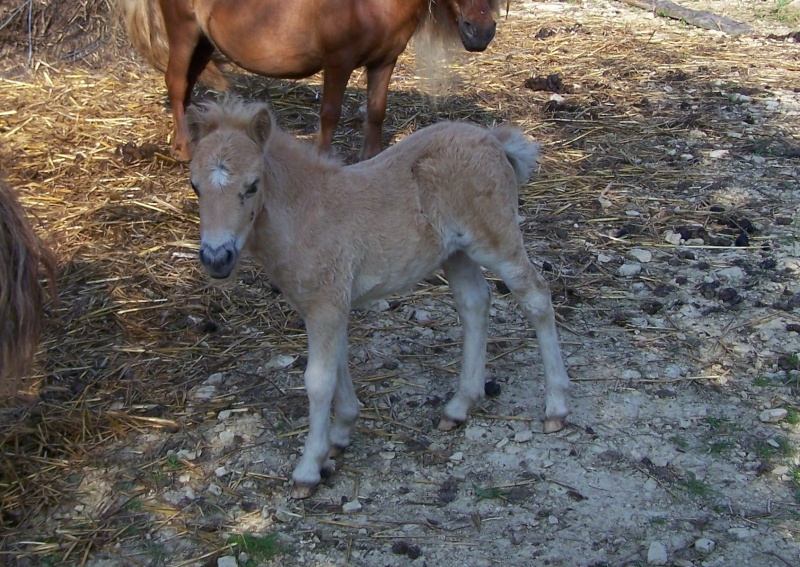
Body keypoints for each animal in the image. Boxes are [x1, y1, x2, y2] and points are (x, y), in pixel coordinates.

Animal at [119, 0, 496, 160]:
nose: (481, 31)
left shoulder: (384, 63)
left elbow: (376, 113)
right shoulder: (338, 61)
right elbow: (329, 115)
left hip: (203, 41)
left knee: (187, 86)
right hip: (184, 33)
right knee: (176, 83)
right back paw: (184, 148)